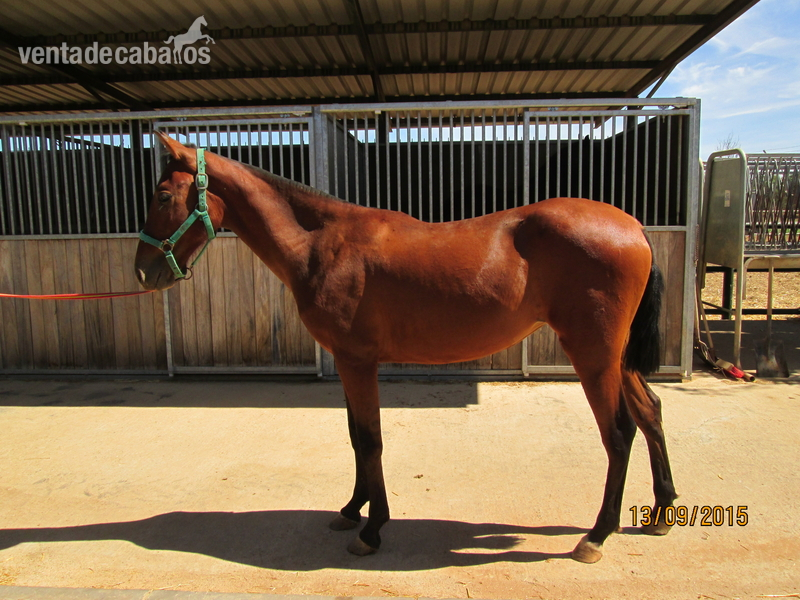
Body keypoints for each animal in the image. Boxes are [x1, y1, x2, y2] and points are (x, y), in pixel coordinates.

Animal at [135, 132, 677, 563]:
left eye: (162, 195)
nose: (143, 272)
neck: (324, 244)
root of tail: (632, 226)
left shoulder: (358, 363)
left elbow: (371, 440)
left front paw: (373, 530)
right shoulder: (347, 361)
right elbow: (356, 437)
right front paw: (351, 510)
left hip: (593, 356)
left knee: (619, 434)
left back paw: (597, 535)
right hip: (616, 358)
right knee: (650, 412)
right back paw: (661, 510)